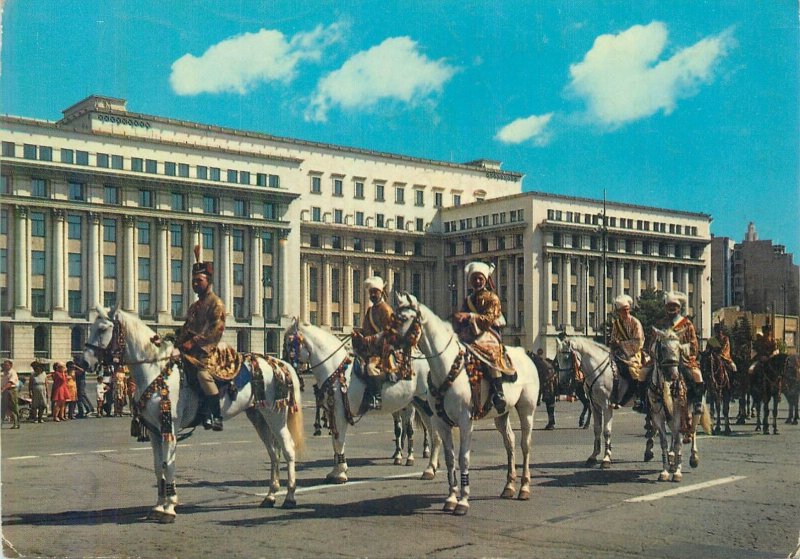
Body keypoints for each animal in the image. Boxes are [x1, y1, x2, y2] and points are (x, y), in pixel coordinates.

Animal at [83, 306, 304, 520]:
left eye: (102, 329)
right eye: (91, 327)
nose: (84, 363)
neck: (156, 370)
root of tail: (280, 363)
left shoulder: (169, 427)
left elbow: (169, 464)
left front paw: (169, 508)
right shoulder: (155, 431)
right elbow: (158, 466)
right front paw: (158, 506)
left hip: (275, 414)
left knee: (288, 449)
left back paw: (290, 497)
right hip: (258, 416)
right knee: (273, 452)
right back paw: (270, 496)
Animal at [284, 322, 440, 484]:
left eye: (289, 343)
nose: (284, 367)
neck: (335, 369)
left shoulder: (339, 413)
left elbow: (339, 441)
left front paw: (341, 473)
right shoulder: (332, 413)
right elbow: (335, 442)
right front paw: (335, 471)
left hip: (425, 405)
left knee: (434, 435)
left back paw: (428, 468)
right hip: (419, 405)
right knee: (431, 433)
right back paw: (431, 467)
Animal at [392, 294, 536, 516]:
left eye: (405, 318)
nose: (389, 346)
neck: (446, 367)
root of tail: (523, 352)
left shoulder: (466, 422)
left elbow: (463, 458)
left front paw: (463, 501)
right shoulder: (442, 422)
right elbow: (450, 458)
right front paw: (451, 498)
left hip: (527, 410)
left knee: (525, 445)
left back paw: (524, 488)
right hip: (501, 414)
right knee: (510, 442)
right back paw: (509, 487)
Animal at [552, 336, 636, 468]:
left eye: (566, 358)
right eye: (557, 360)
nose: (562, 383)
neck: (599, 371)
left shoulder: (607, 406)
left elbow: (606, 431)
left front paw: (606, 458)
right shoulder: (595, 405)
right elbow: (597, 429)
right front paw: (593, 456)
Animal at [648, 330, 708, 484]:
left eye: (679, 349)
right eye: (663, 348)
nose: (674, 375)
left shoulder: (679, 415)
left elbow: (679, 443)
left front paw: (677, 473)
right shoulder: (658, 417)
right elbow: (664, 442)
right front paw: (664, 471)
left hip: (696, 409)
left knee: (692, 430)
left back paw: (693, 458)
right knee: (675, 436)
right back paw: (671, 461)